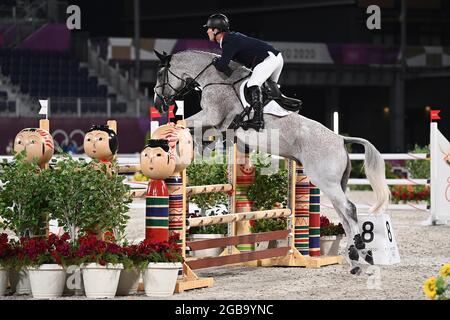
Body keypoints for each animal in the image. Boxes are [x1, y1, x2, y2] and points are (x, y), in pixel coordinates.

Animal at [154, 50, 390, 276]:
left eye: (160, 73)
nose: (158, 103)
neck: (215, 78)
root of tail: (341, 140)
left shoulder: (212, 116)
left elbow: (187, 125)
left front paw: (181, 142)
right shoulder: (219, 125)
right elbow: (199, 133)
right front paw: (199, 147)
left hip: (326, 182)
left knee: (349, 209)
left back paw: (361, 251)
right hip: (335, 184)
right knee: (344, 215)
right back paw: (355, 261)